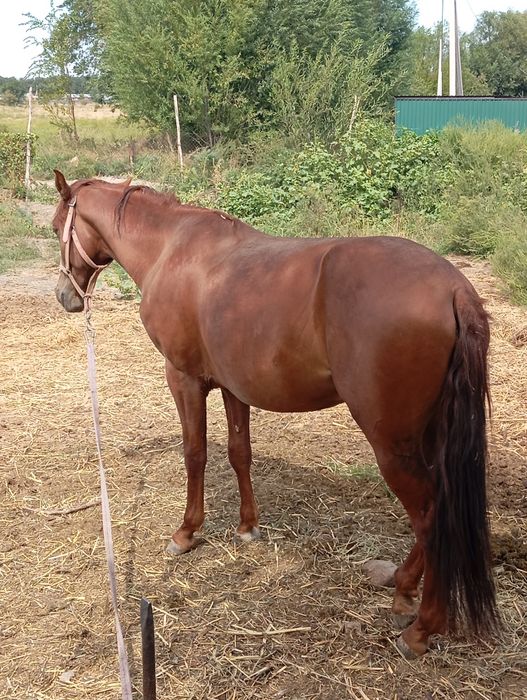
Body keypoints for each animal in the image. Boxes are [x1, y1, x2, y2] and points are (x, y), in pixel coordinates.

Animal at [51, 170, 500, 659]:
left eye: (56, 228)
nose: (64, 297)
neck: (171, 248)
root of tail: (453, 288)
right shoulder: (233, 386)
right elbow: (239, 452)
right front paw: (248, 527)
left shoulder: (183, 379)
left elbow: (195, 454)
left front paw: (186, 533)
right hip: (429, 434)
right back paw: (402, 588)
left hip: (391, 443)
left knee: (431, 515)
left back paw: (421, 628)